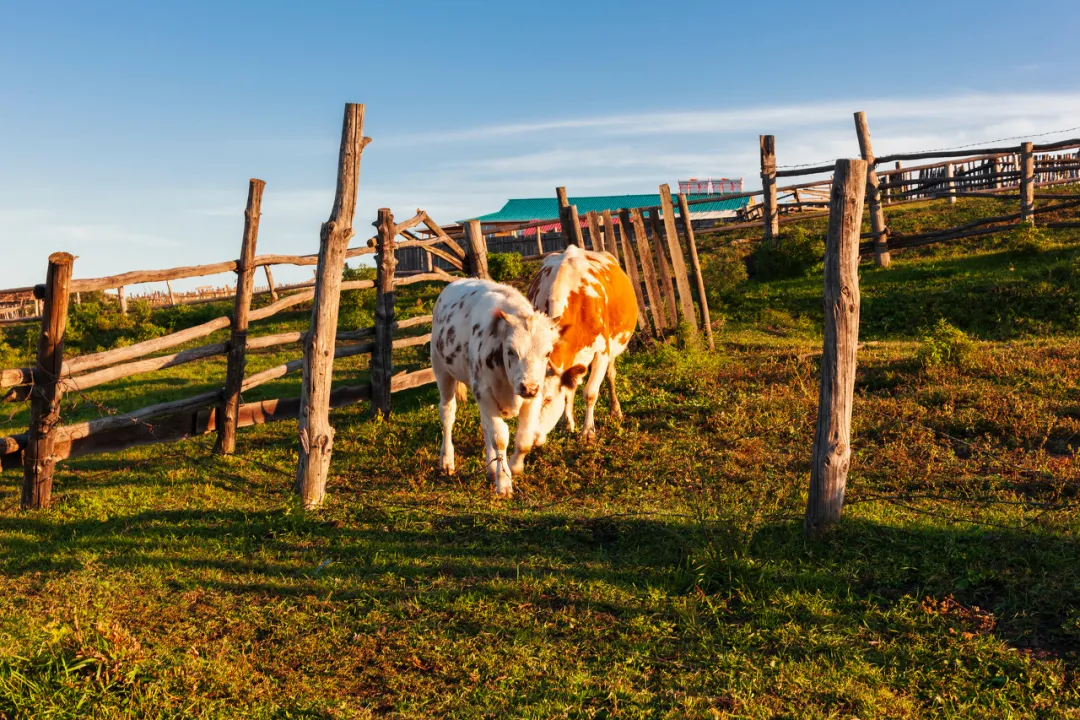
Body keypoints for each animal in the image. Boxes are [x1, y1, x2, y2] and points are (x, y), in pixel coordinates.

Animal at [429, 278, 557, 498]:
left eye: (547, 353)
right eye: (511, 351)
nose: (528, 387)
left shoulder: (532, 398)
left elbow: (524, 438)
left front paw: (513, 467)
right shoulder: (485, 392)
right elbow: (500, 437)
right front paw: (504, 482)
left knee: (484, 425)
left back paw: (490, 468)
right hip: (441, 369)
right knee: (447, 414)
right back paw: (447, 461)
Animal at [509, 245, 635, 472]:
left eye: (548, 399)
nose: (532, 438)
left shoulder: (601, 352)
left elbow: (590, 393)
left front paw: (588, 432)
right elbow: (568, 393)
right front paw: (568, 424)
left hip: (614, 348)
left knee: (611, 376)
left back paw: (615, 410)